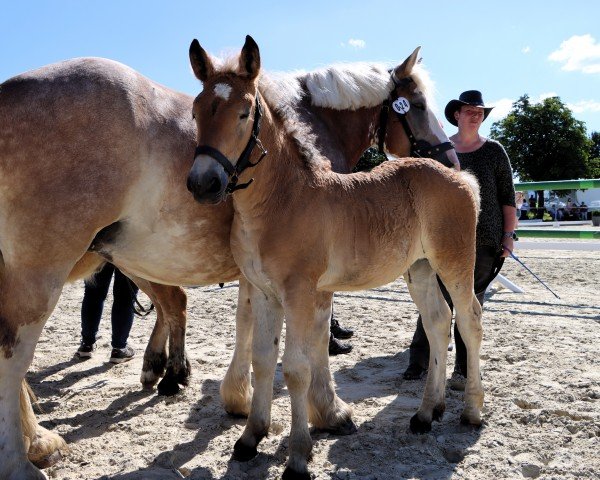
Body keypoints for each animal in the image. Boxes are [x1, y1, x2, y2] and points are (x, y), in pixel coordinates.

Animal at [188, 35, 482, 478]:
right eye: (195, 111)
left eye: (243, 113)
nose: (203, 183)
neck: (284, 198)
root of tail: (461, 177)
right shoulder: (264, 291)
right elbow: (263, 360)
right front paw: (250, 438)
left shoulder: (300, 292)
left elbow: (296, 368)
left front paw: (298, 456)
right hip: (419, 269)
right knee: (437, 322)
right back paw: (426, 414)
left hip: (455, 262)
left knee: (469, 320)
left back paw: (472, 412)